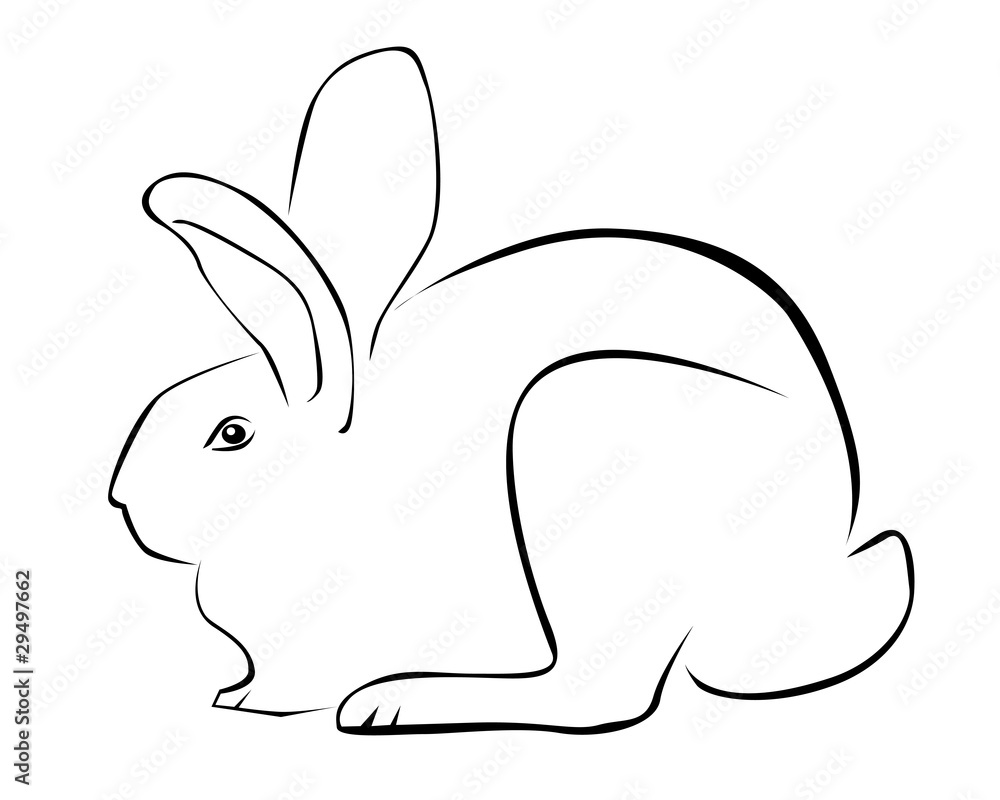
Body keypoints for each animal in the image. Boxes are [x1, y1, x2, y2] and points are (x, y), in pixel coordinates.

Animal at [109, 47, 914, 734]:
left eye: (231, 433)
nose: (120, 501)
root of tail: (801, 584)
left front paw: (265, 703)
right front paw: (235, 696)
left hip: (576, 429)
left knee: (599, 692)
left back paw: (398, 703)